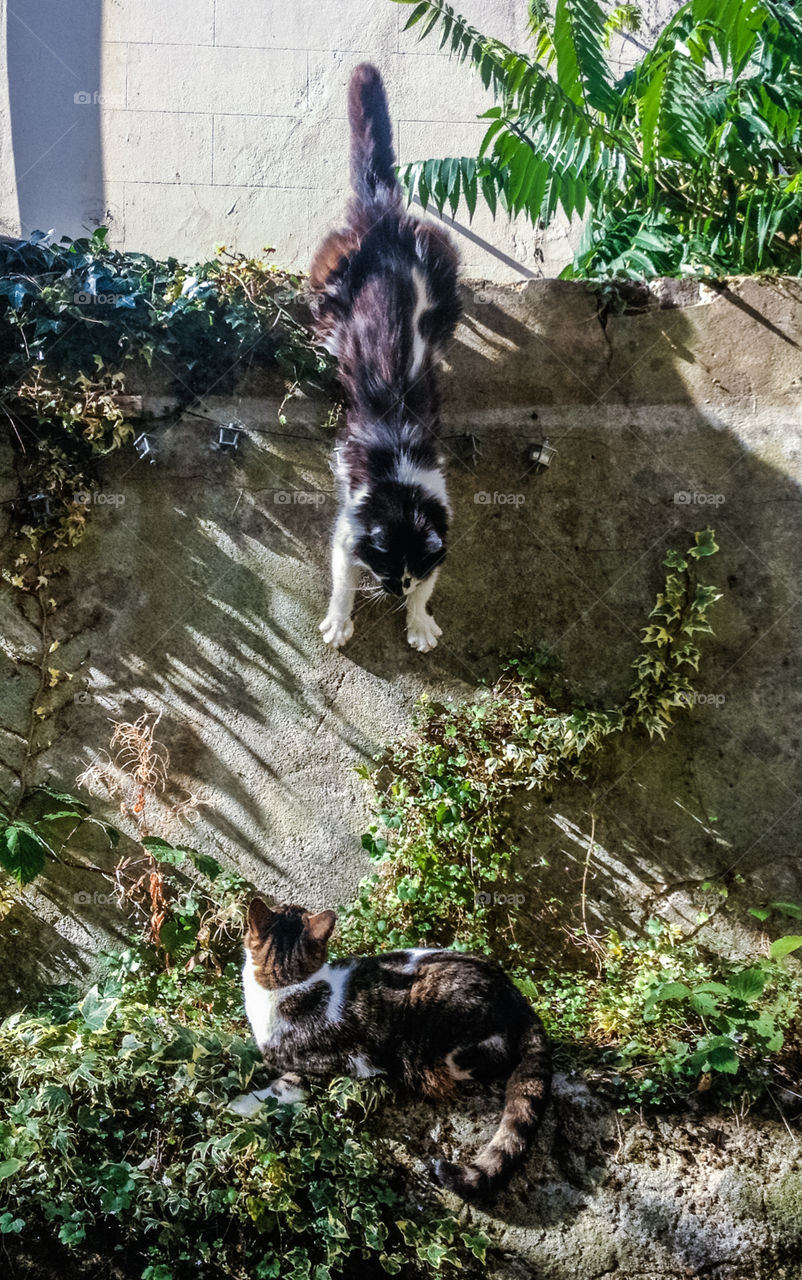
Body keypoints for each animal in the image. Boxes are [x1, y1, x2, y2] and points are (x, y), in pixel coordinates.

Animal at [237, 896, 552, 1203]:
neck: (293, 984)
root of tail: (519, 1000)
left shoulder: (318, 1069)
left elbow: (278, 1090)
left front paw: (240, 1104)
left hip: (447, 1041)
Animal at [309, 64, 457, 655]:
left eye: (410, 575)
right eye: (387, 569)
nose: (396, 590)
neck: (401, 493)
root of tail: (383, 215)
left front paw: (419, 623)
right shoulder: (348, 528)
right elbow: (341, 581)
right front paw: (339, 623)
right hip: (328, 274)